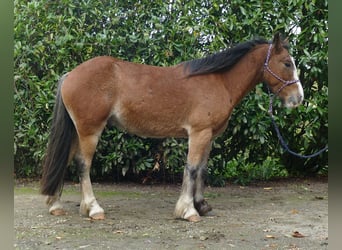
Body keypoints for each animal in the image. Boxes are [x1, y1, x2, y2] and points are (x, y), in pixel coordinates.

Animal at [41, 32, 304, 221]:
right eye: (287, 63)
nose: (298, 98)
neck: (219, 81)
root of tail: (70, 74)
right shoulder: (198, 133)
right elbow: (192, 168)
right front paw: (188, 211)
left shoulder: (209, 136)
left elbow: (202, 169)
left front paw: (201, 205)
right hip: (90, 130)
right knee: (82, 164)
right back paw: (94, 209)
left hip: (77, 131)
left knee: (66, 159)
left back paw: (55, 205)